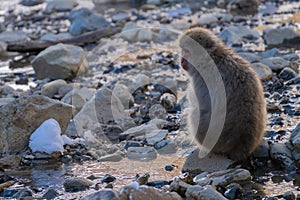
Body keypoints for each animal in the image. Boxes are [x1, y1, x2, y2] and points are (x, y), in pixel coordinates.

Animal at [178, 27, 264, 160]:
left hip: (213, 139)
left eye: (186, 51)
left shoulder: (201, 80)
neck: (212, 57)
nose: (181, 60)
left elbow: (204, 106)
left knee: (195, 114)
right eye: (183, 50)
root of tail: (241, 146)